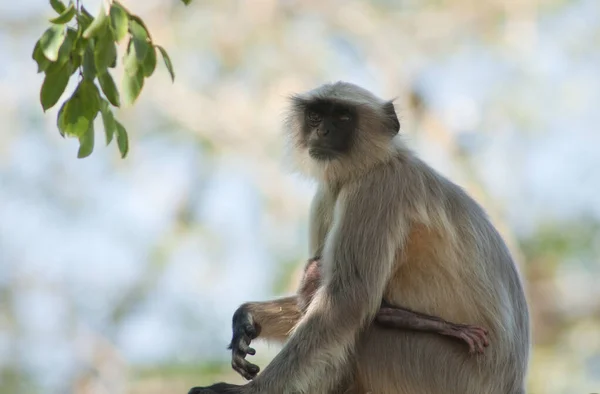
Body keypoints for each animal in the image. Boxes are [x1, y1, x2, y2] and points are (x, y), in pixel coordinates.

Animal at [190, 81, 532, 392]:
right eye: (315, 116)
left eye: (342, 117)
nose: (322, 132)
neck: (373, 163)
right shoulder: (327, 193)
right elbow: (310, 297)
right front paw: (247, 319)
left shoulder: (378, 187)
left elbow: (346, 301)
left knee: (363, 332)